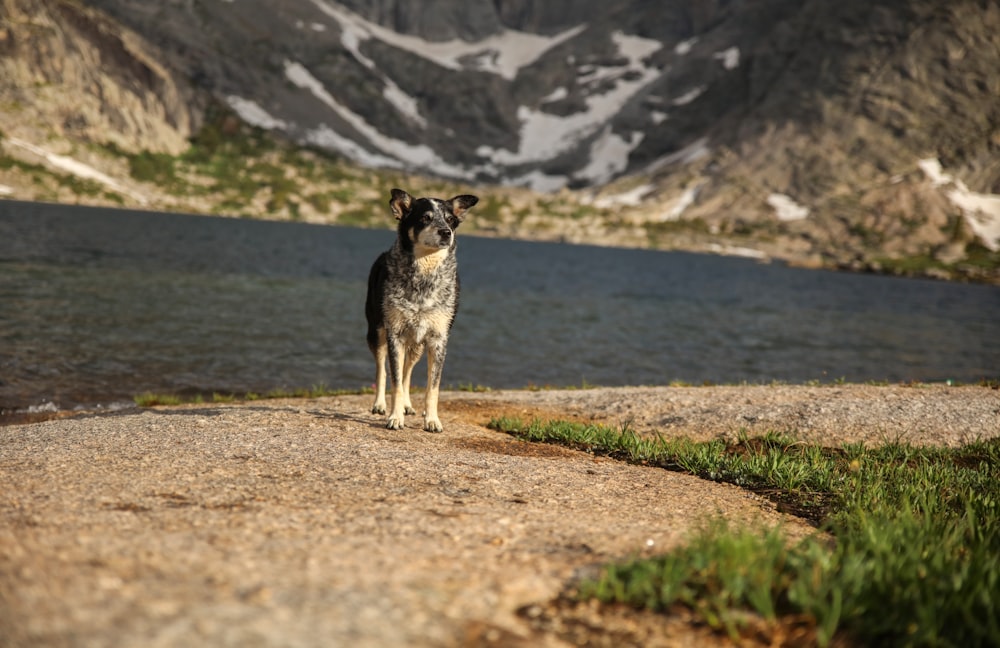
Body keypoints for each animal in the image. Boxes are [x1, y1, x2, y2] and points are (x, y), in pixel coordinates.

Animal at [366, 187, 478, 430]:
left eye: (451, 220)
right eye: (425, 218)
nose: (446, 232)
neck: (424, 274)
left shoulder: (438, 339)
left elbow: (432, 387)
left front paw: (432, 420)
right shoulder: (395, 335)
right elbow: (395, 381)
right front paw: (395, 417)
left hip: (417, 343)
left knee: (407, 371)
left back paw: (408, 406)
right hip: (376, 331)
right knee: (381, 369)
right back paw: (379, 405)